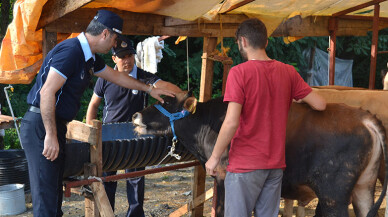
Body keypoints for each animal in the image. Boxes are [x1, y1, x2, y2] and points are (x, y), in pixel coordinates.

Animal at [132, 91, 386, 217]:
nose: (136, 115)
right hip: (363, 188)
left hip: (334, 195)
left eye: (167, 102)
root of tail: (365, 118)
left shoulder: (225, 177)